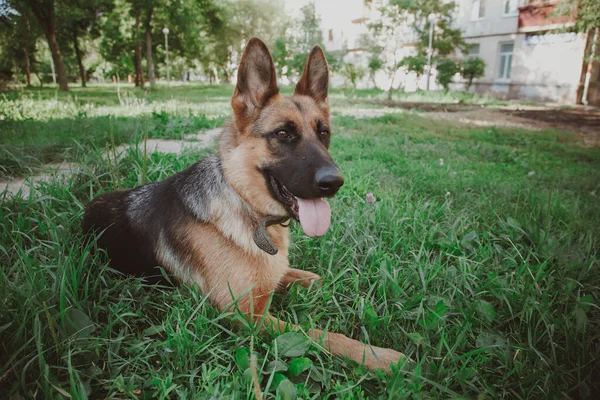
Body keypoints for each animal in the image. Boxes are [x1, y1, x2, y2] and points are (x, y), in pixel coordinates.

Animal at [82, 36, 406, 372]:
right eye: (282, 133)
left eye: (324, 134)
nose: (334, 183)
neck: (246, 204)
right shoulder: (249, 317)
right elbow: (319, 334)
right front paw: (376, 356)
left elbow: (300, 276)